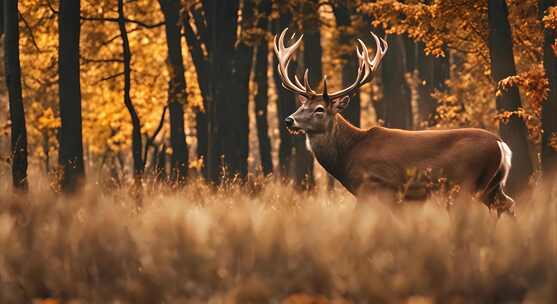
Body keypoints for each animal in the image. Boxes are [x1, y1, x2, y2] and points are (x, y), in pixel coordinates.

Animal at [276, 28, 516, 217]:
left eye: (319, 109)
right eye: (302, 106)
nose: (289, 120)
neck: (349, 154)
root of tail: (502, 145)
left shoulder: (377, 185)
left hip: (466, 182)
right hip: (491, 184)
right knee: (507, 205)